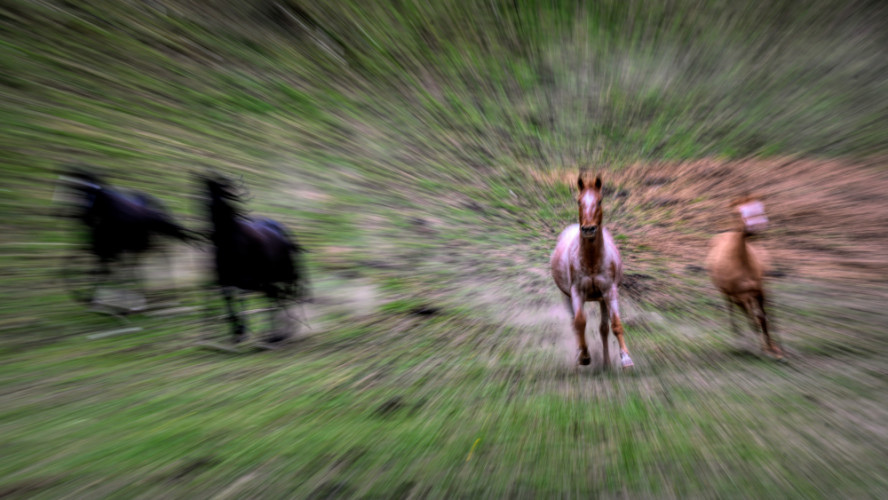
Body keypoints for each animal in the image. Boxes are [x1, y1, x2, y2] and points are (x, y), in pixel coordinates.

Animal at [57, 167, 197, 309]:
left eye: (90, 193)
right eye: (75, 191)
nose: (84, 217)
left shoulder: (110, 249)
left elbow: (106, 271)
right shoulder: (104, 249)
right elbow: (97, 269)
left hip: (143, 244)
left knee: (158, 258)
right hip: (139, 246)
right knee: (142, 262)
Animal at [200, 173, 308, 344]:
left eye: (220, 204)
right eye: (205, 204)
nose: (212, 236)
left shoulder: (247, 280)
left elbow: (242, 299)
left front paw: (244, 331)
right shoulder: (226, 281)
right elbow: (229, 300)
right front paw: (238, 332)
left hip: (282, 274)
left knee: (286, 294)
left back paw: (283, 330)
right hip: (272, 278)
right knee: (278, 295)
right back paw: (279, 332)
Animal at [550, 173, 634, 369]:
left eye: (600, 200)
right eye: (579, 201)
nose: (588, 229)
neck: (592, 262)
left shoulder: (610, 291)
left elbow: (615, 324)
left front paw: (625, 358)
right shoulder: (576, 292)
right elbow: (580, 322)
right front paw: (584, 356)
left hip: (601, 299)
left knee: (603, 328)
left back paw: (606, 363)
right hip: (567, 296)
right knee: (575, 323)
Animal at [705, 196, 783, 359]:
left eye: (760, 206)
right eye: (737, 212)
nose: (758, 226)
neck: (742, 262)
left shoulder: (759, 290)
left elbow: (763, 317)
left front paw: (774, 349)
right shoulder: (741, 296)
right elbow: (753, 319)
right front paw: (762, 349)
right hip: (729, 295)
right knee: (734, 312)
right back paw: (738, 338)